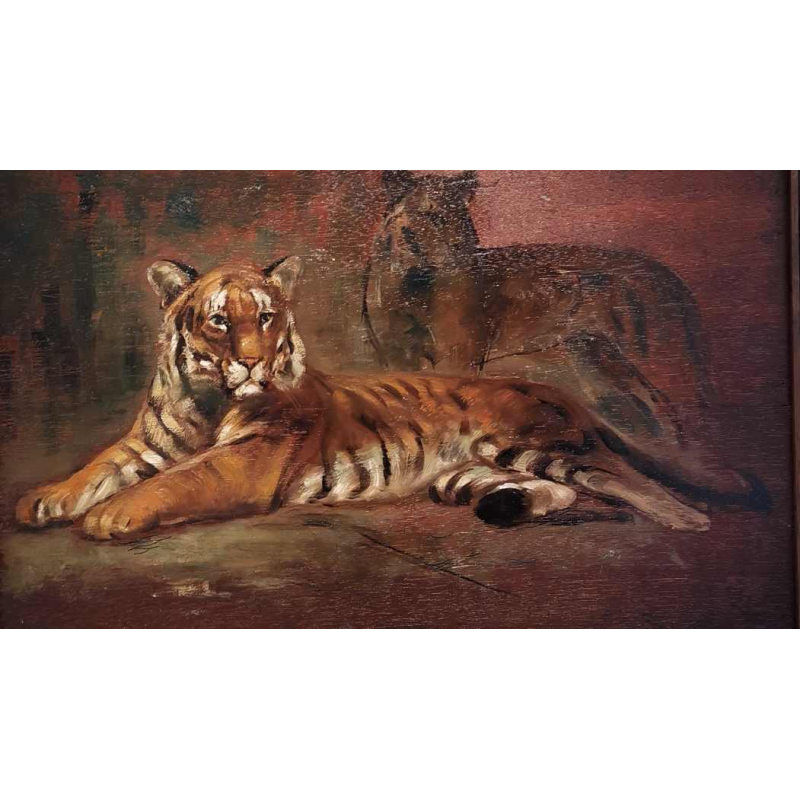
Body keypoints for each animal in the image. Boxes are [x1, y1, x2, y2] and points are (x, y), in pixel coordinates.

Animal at [16, 257, 766, 541]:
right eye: (220, 321)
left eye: (267, 316)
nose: (253, 363)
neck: (206, 400)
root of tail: (557, 388)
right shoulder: (144, 442)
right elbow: (99, 467)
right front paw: (44, 500)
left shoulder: (248, 459)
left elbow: (174, 482)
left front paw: (110, 516)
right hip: (467, 472)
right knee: (560, 490)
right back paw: (507, 507)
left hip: (539, 443)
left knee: (628, 479)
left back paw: (686, 522)